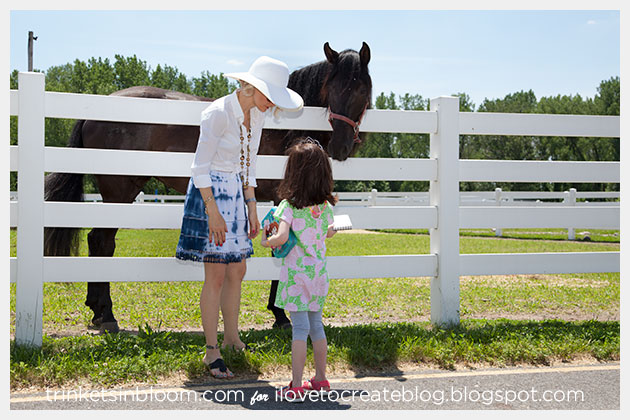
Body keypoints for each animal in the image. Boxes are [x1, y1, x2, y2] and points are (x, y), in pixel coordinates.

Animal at [44, 41, 372, 332]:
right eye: (333, 86)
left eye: (361, 89)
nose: (342, 146)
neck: (287, 129)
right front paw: (280, 314)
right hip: (119, 193)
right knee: (102, 242)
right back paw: (107, 314)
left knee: (96, 241)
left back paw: (96, 309)